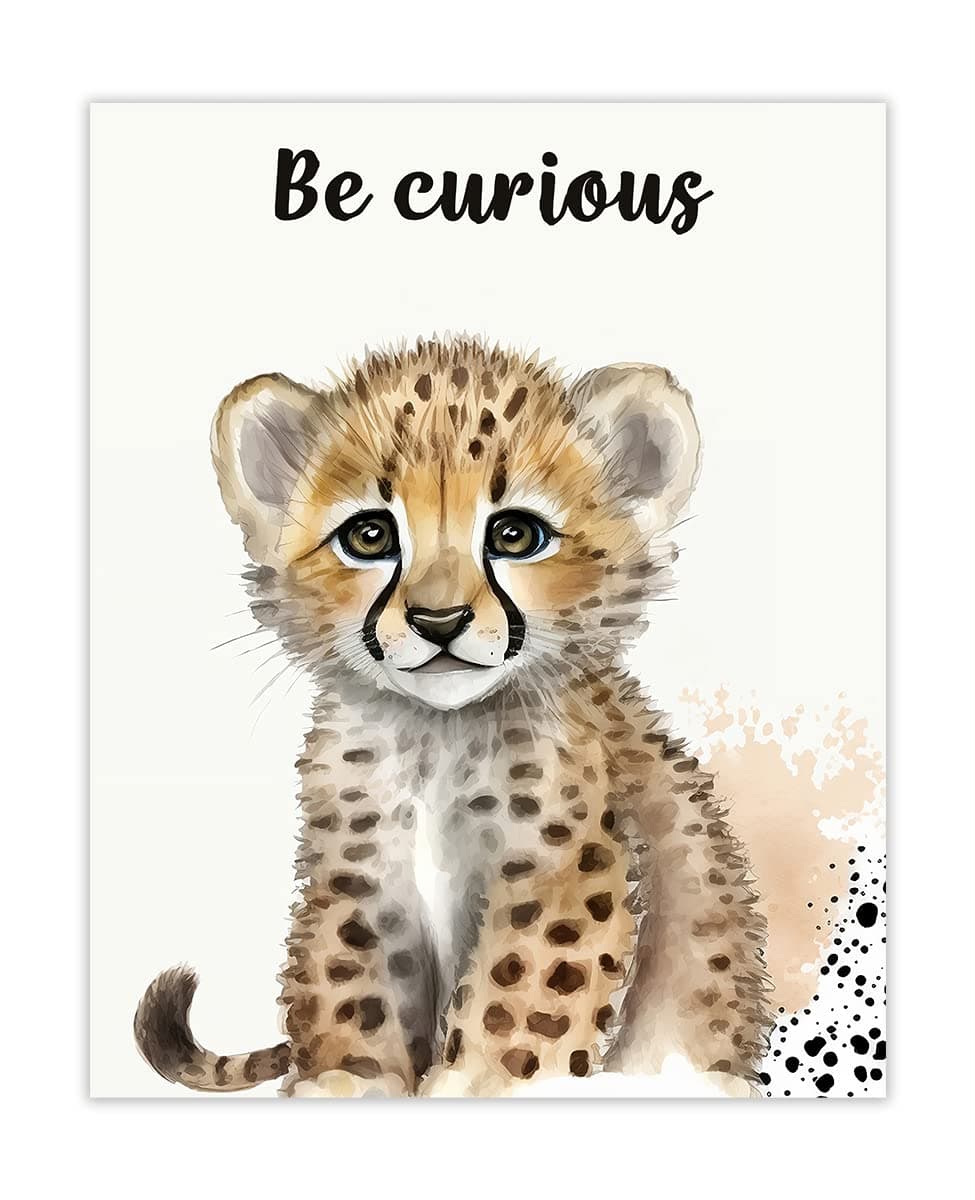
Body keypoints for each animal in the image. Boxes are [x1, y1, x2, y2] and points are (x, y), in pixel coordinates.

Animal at [134, 335, 773, 1098]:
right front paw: (348, 1079)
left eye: (516, 534)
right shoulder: (360, 871)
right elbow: (350, 974)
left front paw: (478, 1081)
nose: (439, 621)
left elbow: (525, 987)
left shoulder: (562, 866)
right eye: (370, 536)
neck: (437, 736)